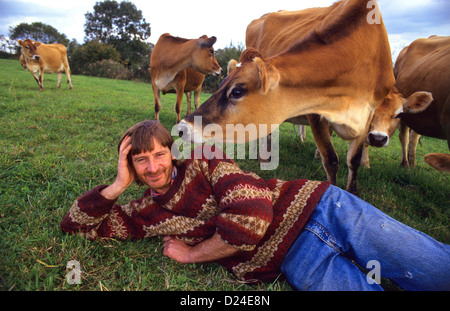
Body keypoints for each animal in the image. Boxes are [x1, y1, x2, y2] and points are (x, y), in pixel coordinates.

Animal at [180, 0, 398, 195]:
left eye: (237, 91)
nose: (182, 127)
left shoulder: (369, 113)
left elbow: (353, 159)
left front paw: (353, 192)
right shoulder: (314, 111)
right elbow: (330, 159)